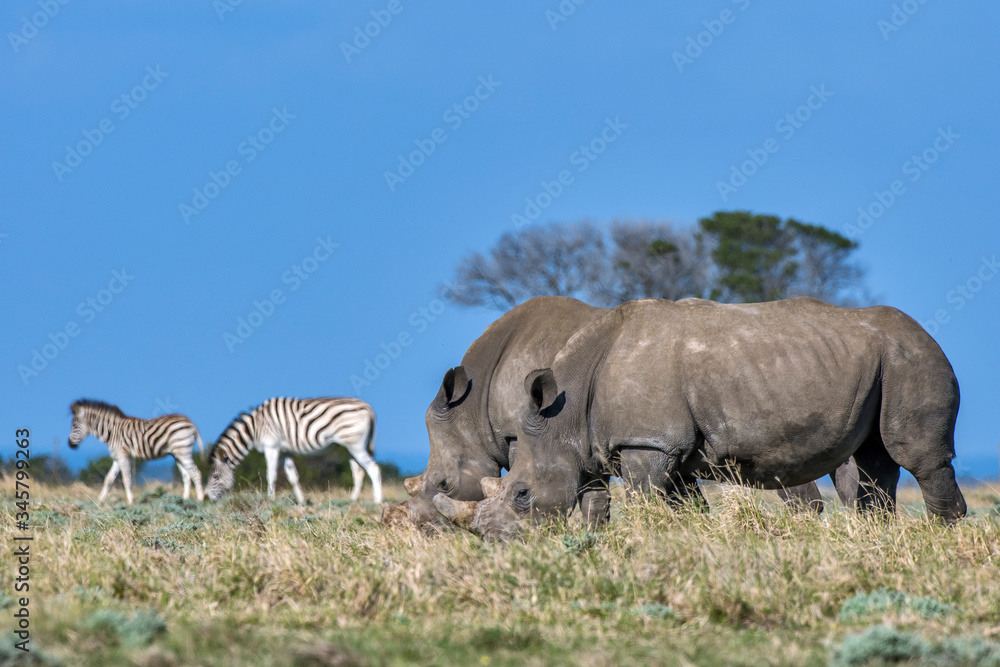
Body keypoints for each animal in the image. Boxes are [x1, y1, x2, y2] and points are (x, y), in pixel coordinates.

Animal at [435, 298, 966, 539]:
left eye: (523, 496)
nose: (494, 540)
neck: (565, 414)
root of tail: (928, 334)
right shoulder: (662, 447)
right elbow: (682, 506)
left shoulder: (647, 442)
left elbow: (648, 502)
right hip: (882, 362)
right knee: (875, 461)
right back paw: (875, 537)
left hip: (912, 356)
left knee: (917, 456)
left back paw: (943, 540)